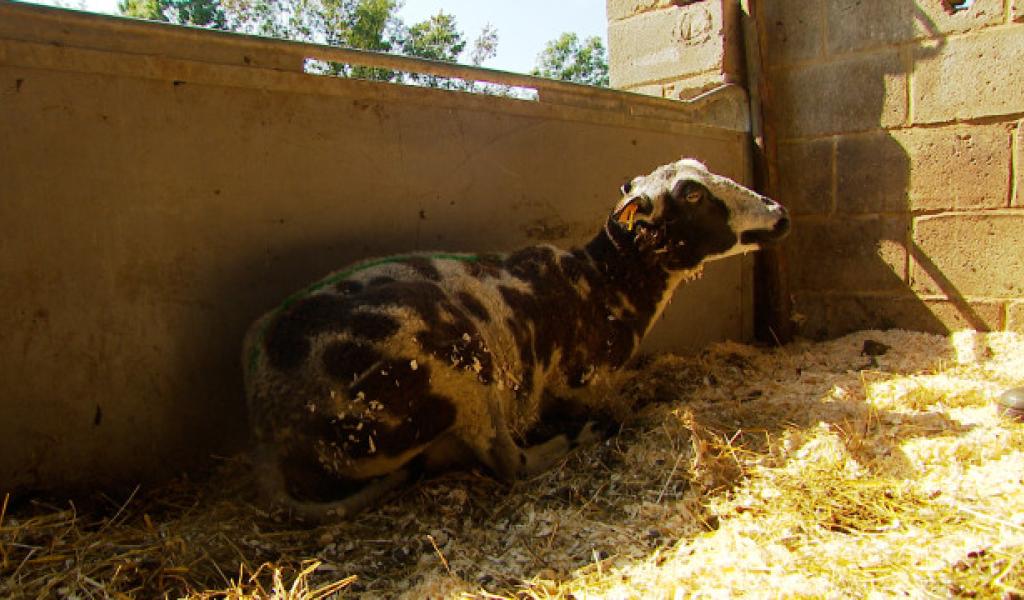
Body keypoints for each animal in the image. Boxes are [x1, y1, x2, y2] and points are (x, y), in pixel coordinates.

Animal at [243, 156, 786, 516]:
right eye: (693, 194)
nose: (779, 214)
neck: (603, 283)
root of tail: (272, 426)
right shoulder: (580, 382)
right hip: (452, 369)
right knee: (508, 462)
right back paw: (576, 437)